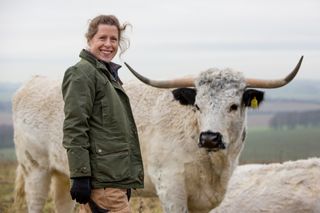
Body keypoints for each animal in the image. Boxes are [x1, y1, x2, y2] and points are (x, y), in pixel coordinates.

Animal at [12, 57, 302, 212]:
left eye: (233, 105)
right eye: (198, 105)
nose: (210, 138)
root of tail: (32, 83)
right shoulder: (171, 188)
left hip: (63, 173)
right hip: (35, 169)